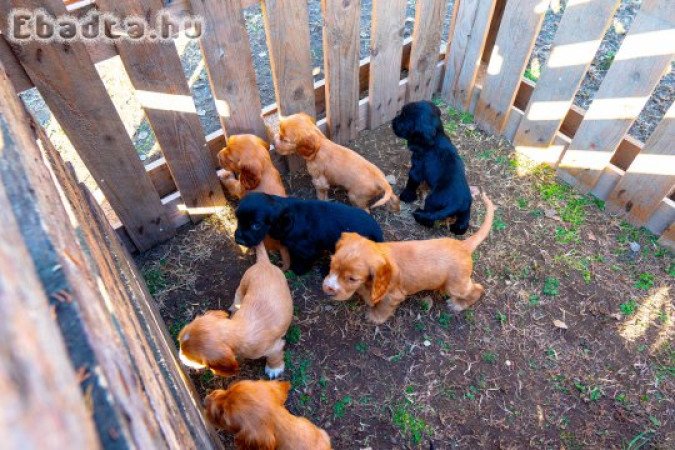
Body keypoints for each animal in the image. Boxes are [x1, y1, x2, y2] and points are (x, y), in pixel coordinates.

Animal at [180, 244, 294, 378]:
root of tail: (264, 263)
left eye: (193, 359)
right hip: (242, 287)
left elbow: (274, 357)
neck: (238, 329)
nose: (179, 357)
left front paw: (274, 368)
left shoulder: (275, 347)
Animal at [218, 132, 290, 268]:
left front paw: (224, 175)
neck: (265, 168)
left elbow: (231, 183)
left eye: (230, 160)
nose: (218, 155)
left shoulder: (240, 188)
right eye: (227, 145)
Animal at [235, 192, 382, 274]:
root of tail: (376, 228)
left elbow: (303, 262)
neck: (287, 216)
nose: (238, 240)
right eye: (238, 219)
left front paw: (298, 270)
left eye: (256, 225)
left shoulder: (307, 250)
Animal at [322, 191, 496, 324]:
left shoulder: (393, 296)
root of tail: (463, 245)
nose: (327, 288)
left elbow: (382, 308)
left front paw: (374, 317)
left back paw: (458, 305)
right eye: (331, 266)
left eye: (352, 279)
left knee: (477, 288)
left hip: (456, 285)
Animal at [394, 100, 472, 234]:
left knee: (430, 218)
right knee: (462, 224)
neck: (437, 136)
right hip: (465, 211)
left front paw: (406, 196)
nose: (393, 121)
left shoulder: (416, 169)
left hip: (432, 201)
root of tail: (456, 204)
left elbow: (411, 183)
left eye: (404, 116)